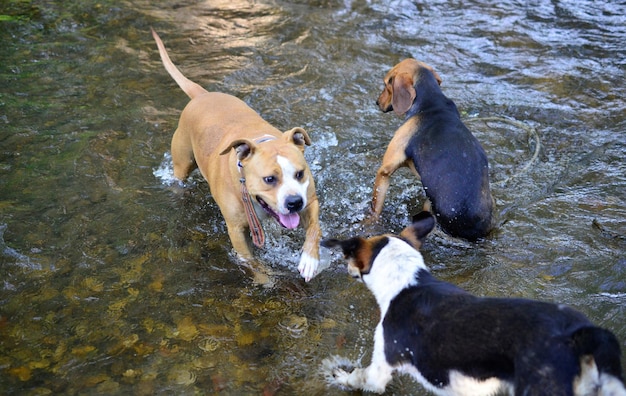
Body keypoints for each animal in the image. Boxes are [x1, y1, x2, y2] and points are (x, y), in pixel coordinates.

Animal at [320, 213, 620, 396]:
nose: (347, 268)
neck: (407, 281)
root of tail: (581, 333)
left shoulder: (382, 366)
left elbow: (359, 377)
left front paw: (339, 375)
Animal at [370, 57, 492, 240]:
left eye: (386, 84)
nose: (377, 102)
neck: (431, 100)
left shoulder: (385, 169)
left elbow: (375, 206)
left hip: (429, 204)